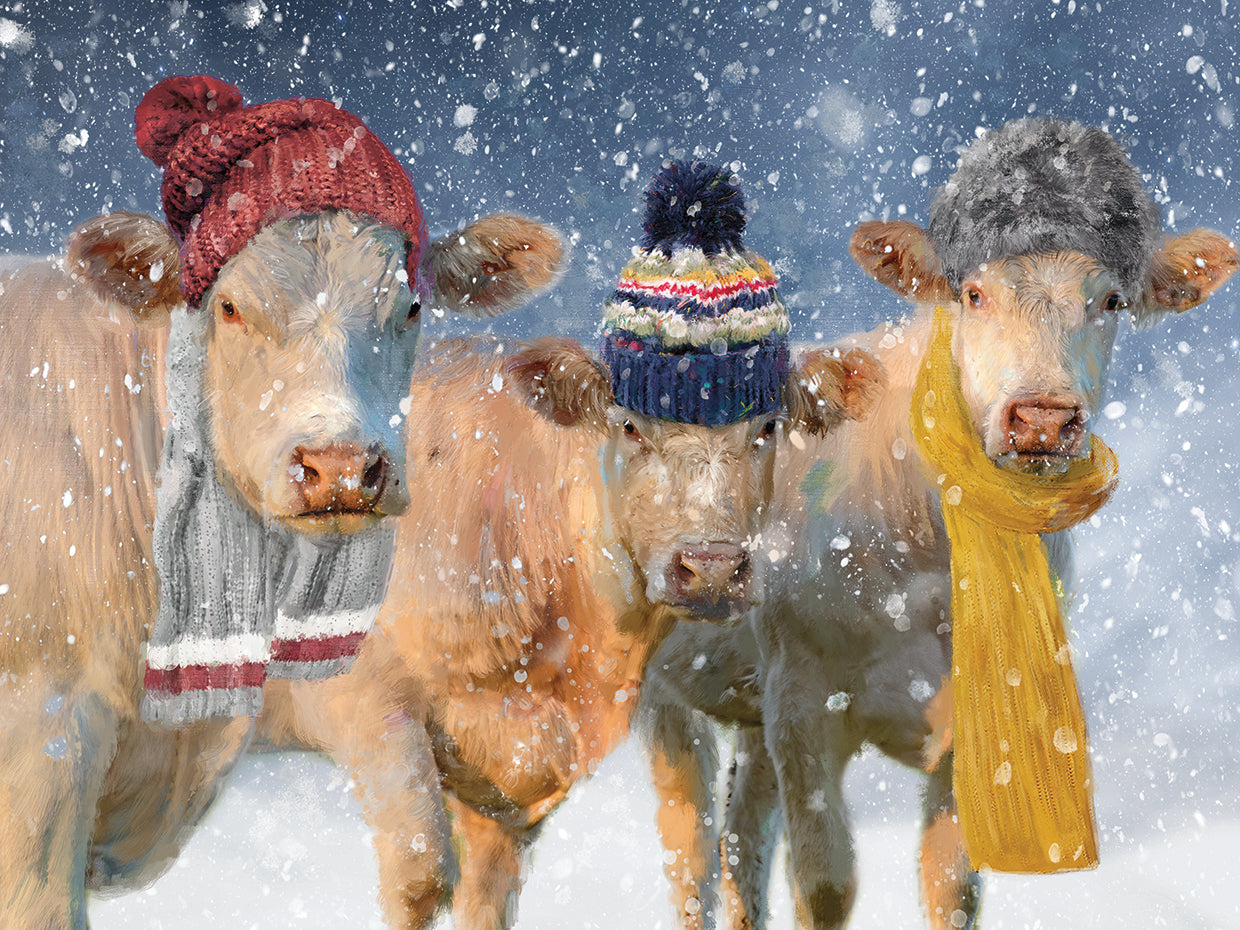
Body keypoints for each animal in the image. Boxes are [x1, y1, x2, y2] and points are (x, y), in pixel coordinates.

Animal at [254, 160, 886, 929]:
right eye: (630, 425)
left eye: (767, 426)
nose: (710, 568)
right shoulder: (370, 705)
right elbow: (420, 878)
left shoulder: (507, 792)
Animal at [638, 118, 1239, 930]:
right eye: (973, 292)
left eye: (1111, 300)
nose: (1041, 416)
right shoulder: (802, 703)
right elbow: (824, 885)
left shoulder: (970, 731)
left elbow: (952, 884)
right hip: (664, 696)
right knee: (691, 852)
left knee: (742, 843)